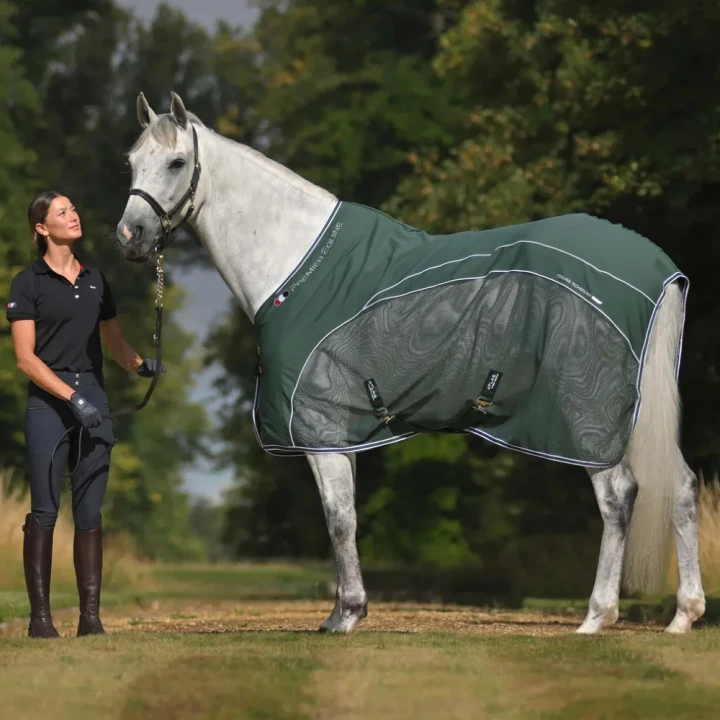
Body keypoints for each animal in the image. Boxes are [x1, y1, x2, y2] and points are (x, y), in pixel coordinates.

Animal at [115, 91, 705, 634]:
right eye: (131, 161)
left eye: (176, 162)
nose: (130, 236)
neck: (294, 266)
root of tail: (660, 269)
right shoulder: (342, 429)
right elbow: (345, 518)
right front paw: (341, 611)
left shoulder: (319, 422)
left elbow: (337, 518)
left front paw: (347, 616)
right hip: (636, 410)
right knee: (680, 487)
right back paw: (683, 616)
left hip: (585, 415)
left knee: (619, 495)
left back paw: (596, 618)